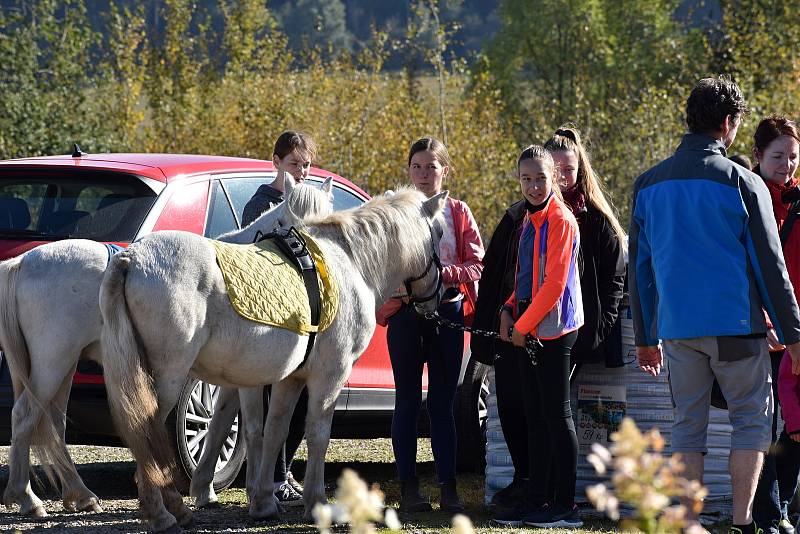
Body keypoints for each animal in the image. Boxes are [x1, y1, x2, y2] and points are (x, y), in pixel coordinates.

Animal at [0, 177, 332, 520]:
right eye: (291, 226)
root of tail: (22, 262)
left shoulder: (232, 377)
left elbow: (220, 423)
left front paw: (208, 489)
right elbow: (249, 427)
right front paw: (257, 494)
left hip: (63, 365)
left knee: (52, 422)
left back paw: (80, 495)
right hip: (54, 361)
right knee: (25, 415)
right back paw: (27, 498)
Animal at [97, 188, 446, 532]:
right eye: (441, 234)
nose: (438, 301)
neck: (351, 263)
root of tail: (132, 257)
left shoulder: (289, 379)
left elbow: (274, 432)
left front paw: (263, 501)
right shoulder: (330, 375)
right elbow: (317, 434)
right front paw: (316, 503)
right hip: (165, 378)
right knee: (148, 435)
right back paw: (163, 515)